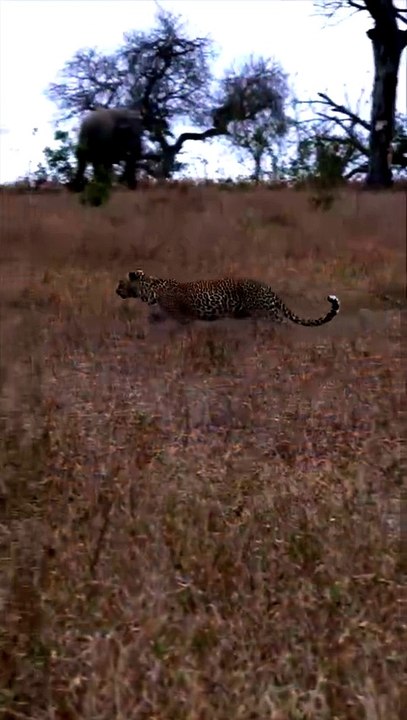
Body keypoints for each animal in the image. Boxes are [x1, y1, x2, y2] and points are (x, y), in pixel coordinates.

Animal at [116, 270, 340, 327]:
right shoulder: (160, 316)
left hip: (266, 313)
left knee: (283, 324)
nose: (116, 291)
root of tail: (267, 286)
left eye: (120, 283)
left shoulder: (182, 318)